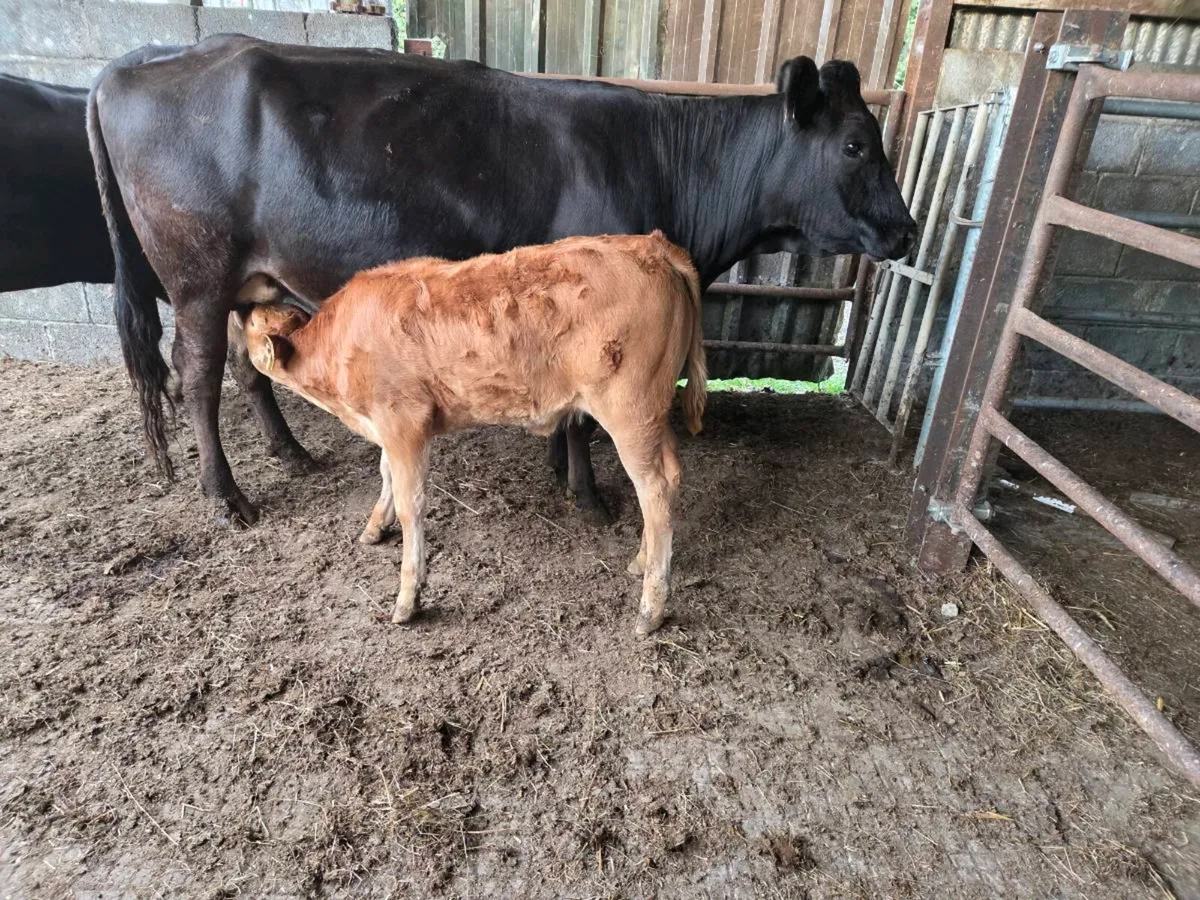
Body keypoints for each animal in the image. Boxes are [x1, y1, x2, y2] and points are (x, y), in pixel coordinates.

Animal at [88, 36, 917, 527]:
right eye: (855, 144)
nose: (908, 231)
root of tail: (142, 63)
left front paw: (560, 473)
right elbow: (583, 418)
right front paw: (589, 497)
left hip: (249, 282)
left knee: (245, 365)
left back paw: (291, 453)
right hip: (198, 276)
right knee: (198, 378)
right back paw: (227, 496)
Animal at [238, 232, 707, 635]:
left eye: (249, 331)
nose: (239, 309)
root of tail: (653, 244)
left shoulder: (404, 421)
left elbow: (411, 504)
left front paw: (408, 597)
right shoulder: (386, 427)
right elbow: (385, 472)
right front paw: (374, 527)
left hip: (629, 410)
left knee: (654, 490)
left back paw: (651, 607)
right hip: (653, 412)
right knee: (671, 474)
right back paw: (641, 560)